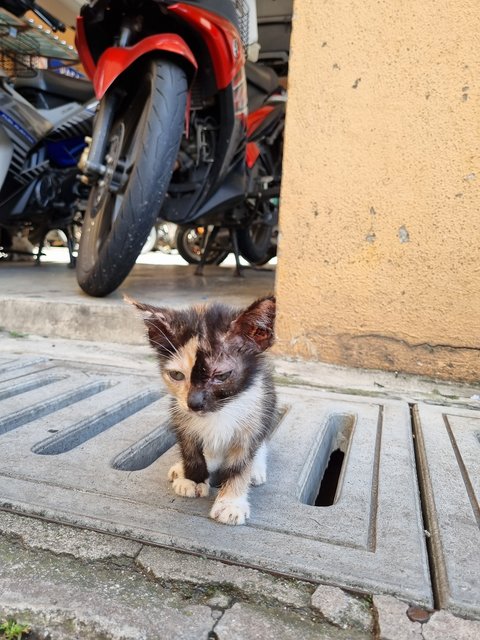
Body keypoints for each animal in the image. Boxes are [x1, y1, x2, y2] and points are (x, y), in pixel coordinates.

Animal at [126, 296, 278, 524]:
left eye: (221, 376)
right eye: (177, 375)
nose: (194, 403)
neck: (220, 413)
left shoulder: (255, 411)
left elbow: (241, 462)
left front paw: (231, 502)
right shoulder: (179, 414)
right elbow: (190, 449)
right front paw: (193, 479)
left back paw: (256, 469)